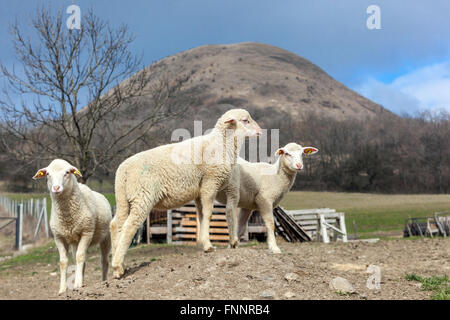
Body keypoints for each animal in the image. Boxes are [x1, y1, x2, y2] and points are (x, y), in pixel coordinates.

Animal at [32, 159, 112, 294]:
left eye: (67, 172)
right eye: (48, 174)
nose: (56, 188)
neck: (67, 218)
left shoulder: (87, 232)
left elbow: (80, 257)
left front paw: (77, 284)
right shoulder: (58, 237)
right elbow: (64, 262)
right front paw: (62, 289)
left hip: (106, 237)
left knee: (104, 261)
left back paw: (103, 281)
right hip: (75, 240)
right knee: (79, 260)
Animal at [110, 107, 262, 278]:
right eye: (245, 120)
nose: (260, 131)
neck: (221, 144)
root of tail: (123, 170)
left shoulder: (200, 191)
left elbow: (201, 216)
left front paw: (204, 243)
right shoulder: (210, 182)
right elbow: (208, 214)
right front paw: (209, 246)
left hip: (123, 198)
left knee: (116, 225)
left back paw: (119, 265)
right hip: (142, 195)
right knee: (130, 225)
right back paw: (117, 266)